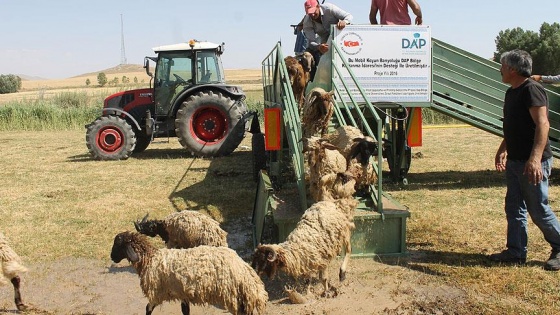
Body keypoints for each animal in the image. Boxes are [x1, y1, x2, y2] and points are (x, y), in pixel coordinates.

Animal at [110, 232, 268, 315]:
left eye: (118, 243)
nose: (112, 257)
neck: (150, 259)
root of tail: (245, 270)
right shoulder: (182, 293)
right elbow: (185, 310)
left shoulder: (157, 293)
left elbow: (148, 309)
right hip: (240, 298)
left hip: (233, 295)